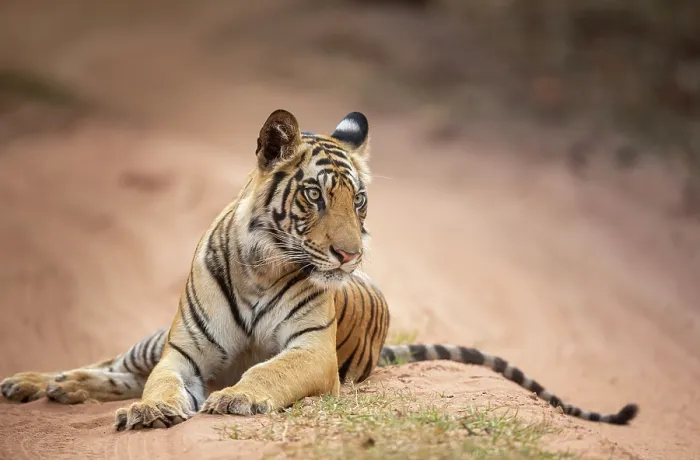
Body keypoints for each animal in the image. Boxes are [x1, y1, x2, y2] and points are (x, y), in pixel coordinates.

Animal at [0, 109, 639, 429]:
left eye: (360, 201)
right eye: (315, 196)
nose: (351, 255)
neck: (260, 267)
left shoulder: (310, 351)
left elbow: (268, 372)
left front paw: (236, 398)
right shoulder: (181, 352)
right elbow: (160, 381)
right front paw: (153, 410)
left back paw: (56, 390)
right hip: (152, 339)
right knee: (116, 366)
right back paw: (38, 383)